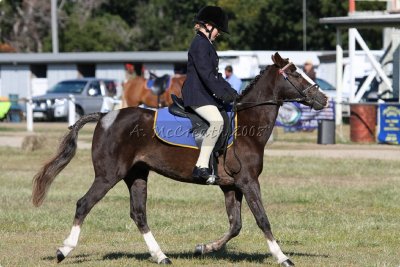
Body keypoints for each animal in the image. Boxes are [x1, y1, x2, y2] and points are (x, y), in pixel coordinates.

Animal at [32, 52, 328, 267]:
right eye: (295, 74)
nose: (323, 98)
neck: (247, 124)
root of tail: (105, 116)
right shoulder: (248, 181)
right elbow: (262, 219)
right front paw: (282, 257)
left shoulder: (230, 185)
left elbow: (235, 225)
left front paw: (204, 248)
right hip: (108, 176)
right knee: (84, 204)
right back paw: (64, 250)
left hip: (136, 175)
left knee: (138, 214)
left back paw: (160, 255)